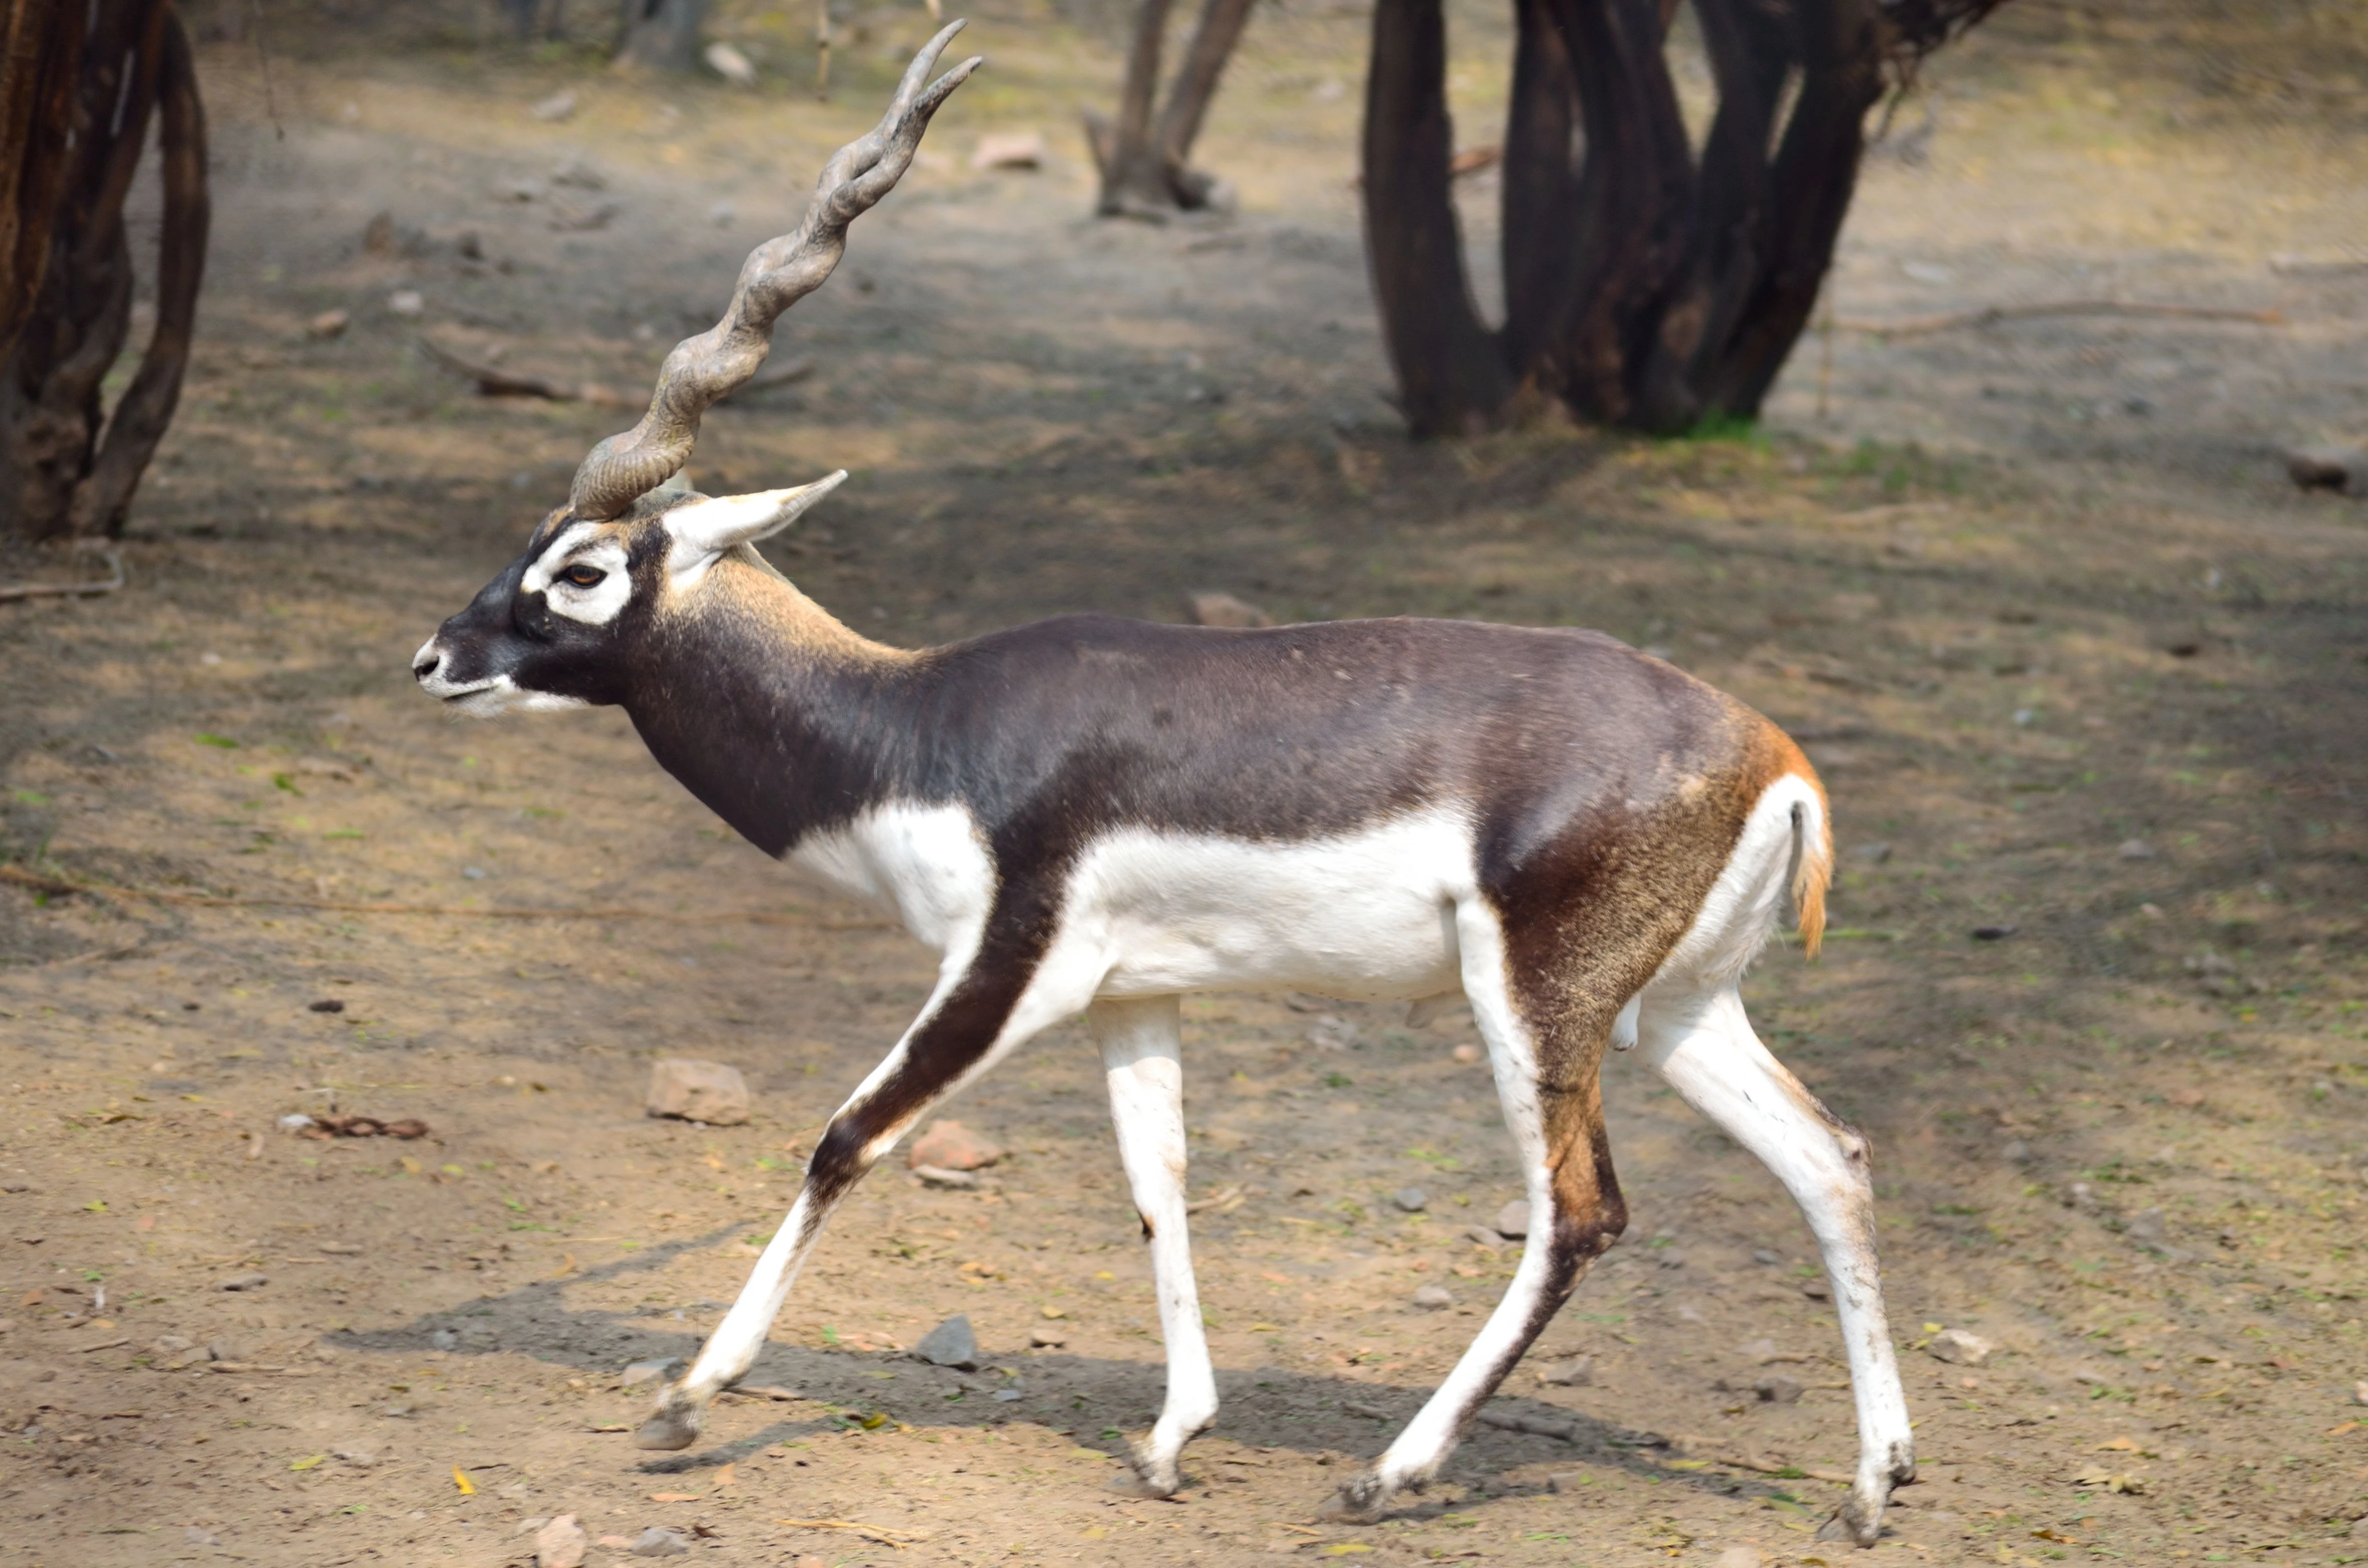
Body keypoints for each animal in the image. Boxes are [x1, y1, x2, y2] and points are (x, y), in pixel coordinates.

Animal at [412, 24, 1904, 1544]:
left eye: (582, 566)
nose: (437, 656)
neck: (914, 724)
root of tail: (1774, 754)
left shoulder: (1007, 964)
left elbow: (844, 1138)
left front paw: (685, 1400)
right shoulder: (1135, 996)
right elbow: (1158, 1187)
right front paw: (1173, 1433)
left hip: (1535, 1001)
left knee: (1580, 1212)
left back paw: (1392, 1470)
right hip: (1678, 1007)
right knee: (1828, 1158)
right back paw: (1873, 1482)